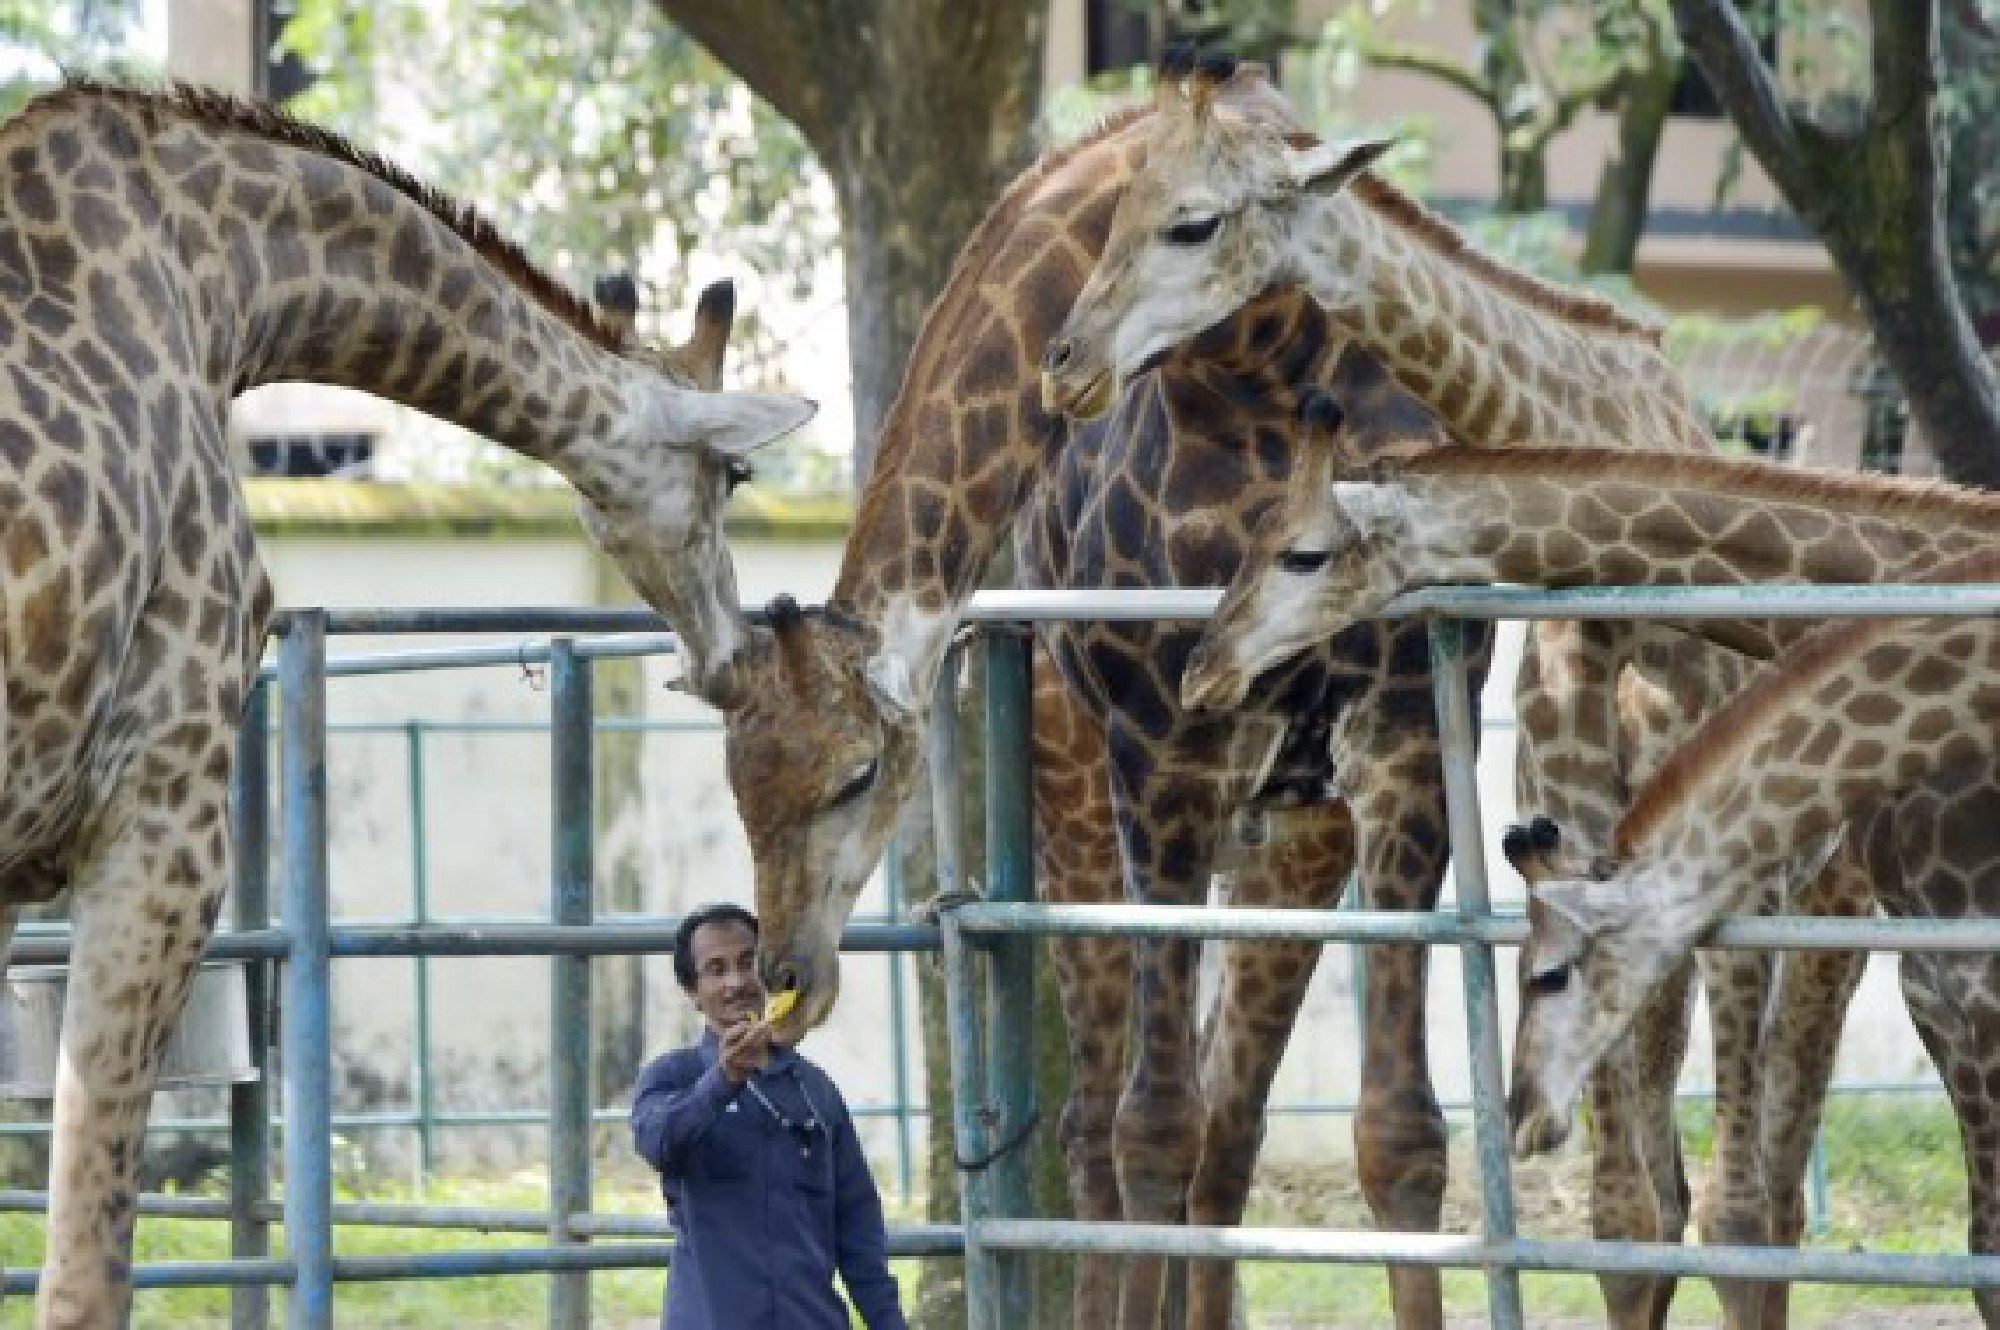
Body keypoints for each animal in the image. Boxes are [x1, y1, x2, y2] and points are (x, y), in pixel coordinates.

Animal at [1038, 52, 1807, 1330]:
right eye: (1113, 208)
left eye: (1192, 220)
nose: (1065, 365)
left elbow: (1665, 1204)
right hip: (1093, 807)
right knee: (1111, 1121)